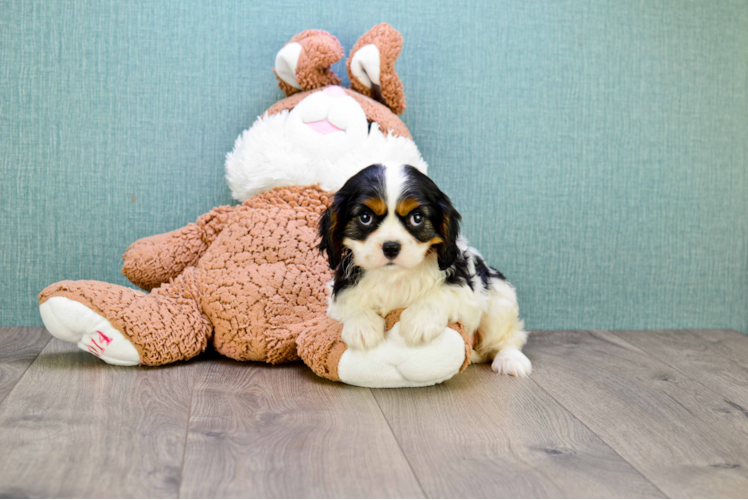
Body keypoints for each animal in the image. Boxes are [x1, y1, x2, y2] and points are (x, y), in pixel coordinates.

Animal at [316, 162, 532, 376]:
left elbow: (442, 294)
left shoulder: (465, 292)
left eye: (417, 218)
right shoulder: (339, 290)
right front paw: (362, 326)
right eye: (365, 217)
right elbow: (351, 302)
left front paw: (419, 321)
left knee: (508, 337)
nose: (391, 247)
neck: (395, 276)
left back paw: (510, 359)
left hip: (499, 301)